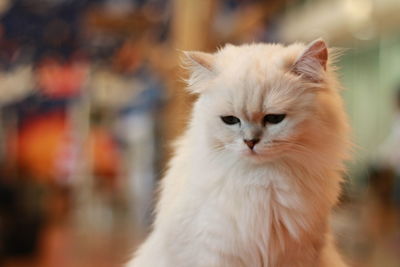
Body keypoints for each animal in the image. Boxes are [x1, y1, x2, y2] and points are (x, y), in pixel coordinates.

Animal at [127, 39, 350, 267]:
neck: (262, 181)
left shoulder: (298, 253)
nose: (250, 142)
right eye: (230, 120)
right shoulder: (217, 251)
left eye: (274, 118)